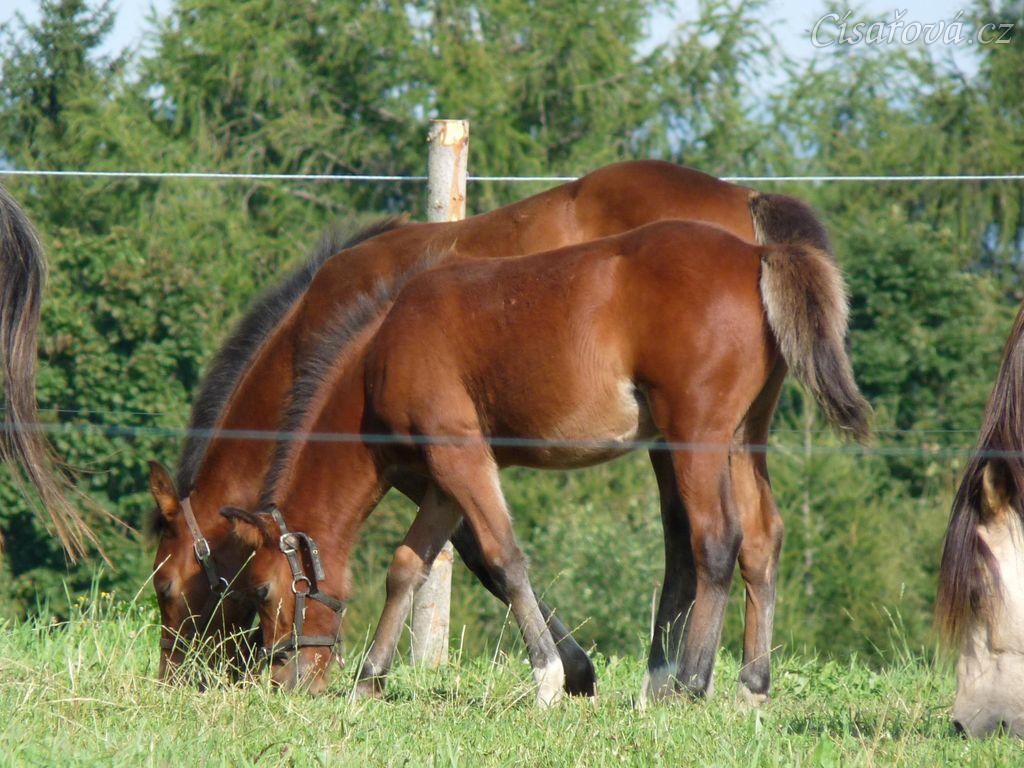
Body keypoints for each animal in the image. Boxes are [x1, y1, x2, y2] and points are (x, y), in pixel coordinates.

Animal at [146, 159, 834, 698]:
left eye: (171, 591)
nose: (176, 681)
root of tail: (752, 221)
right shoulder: (440, 468)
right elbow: (419, 559)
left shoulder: (448, 456)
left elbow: (489, 555)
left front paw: (568, 673)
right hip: (737, 434)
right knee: (756, 538)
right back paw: (739, 685)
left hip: (686, 435)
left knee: (702, 541)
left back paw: (675, 682)